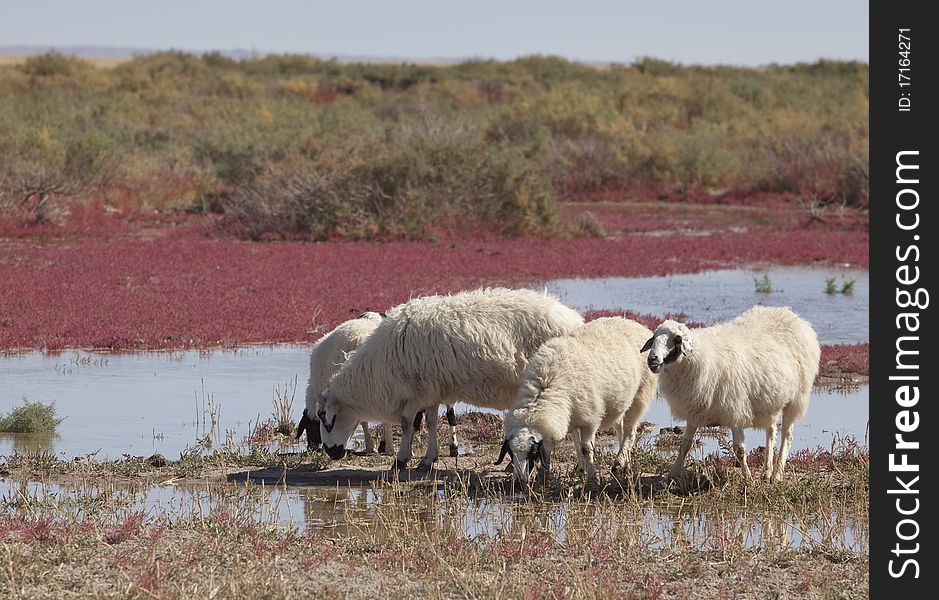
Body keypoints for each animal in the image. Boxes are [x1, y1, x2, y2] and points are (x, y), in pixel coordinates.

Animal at [496, 316, 656, 486]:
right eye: (510, 453)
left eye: (532, 453)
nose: (518, 482)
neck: (546, 385)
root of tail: (636, 325)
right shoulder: (570, 417)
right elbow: (571, 445)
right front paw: (547, 476)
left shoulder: (590, 420)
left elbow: (586, 448)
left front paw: (592, 478)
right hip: (620, 403)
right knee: (620, 429)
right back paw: (625, 463)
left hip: (641, 394)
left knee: (630, 432)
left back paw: (619, 463)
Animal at [644, 304, 820, 482]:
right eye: (654, 338)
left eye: (677, 339)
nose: (652, 359)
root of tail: (790, 314)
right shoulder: (695, 411)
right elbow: (685, 445)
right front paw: (672, 474)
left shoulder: (734, 410)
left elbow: (739, 450)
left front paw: (748, 478)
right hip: (770, 401)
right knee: (771, 432)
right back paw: (766, 471)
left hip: (797, 398)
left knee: (786, 435)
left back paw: (776, 474)